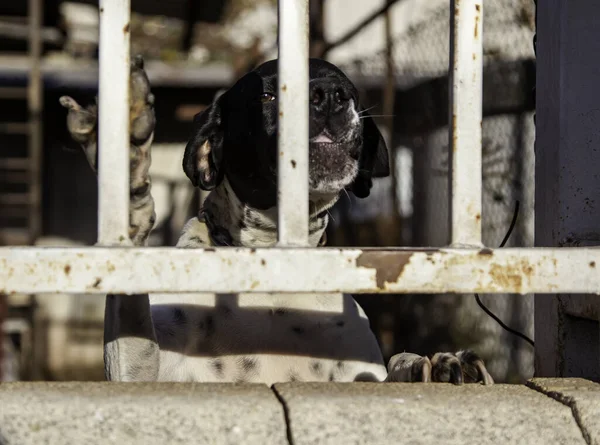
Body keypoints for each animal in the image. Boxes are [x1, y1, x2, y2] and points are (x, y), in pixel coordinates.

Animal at [59, 54, 492, 382]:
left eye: (349, 92)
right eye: (268, 94)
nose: (330, 96)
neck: (270, 260)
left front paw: (433, 365)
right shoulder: (144, 374)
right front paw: (128, 167)